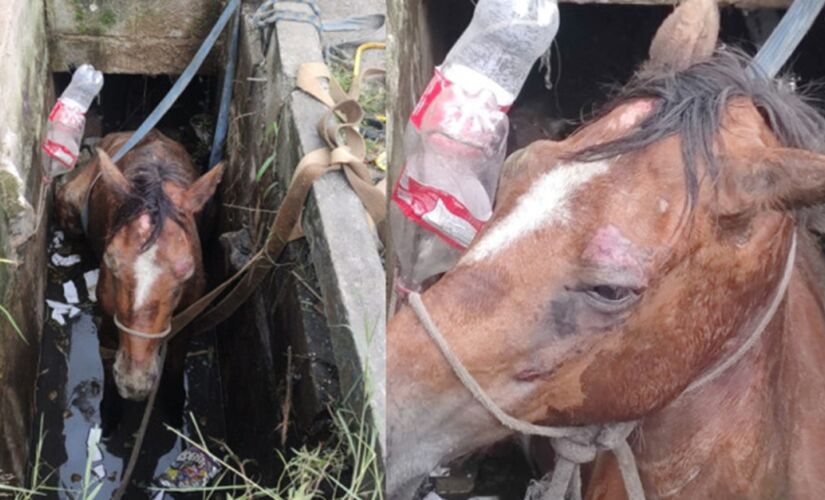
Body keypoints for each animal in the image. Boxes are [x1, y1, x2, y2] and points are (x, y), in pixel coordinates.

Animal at [56, 130, 224, 402]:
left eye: (187, 269)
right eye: (110, 260)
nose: (134, 382)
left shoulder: (186, 323)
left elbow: (175, 374)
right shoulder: (108, 323)